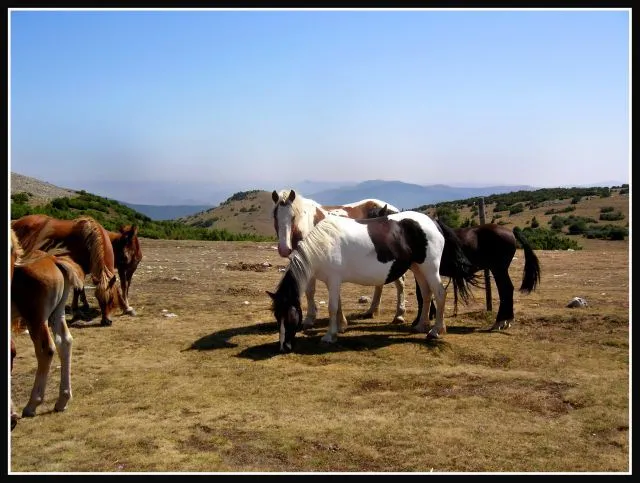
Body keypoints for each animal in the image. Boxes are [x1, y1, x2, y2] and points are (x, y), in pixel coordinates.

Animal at [10, 229, 85, 430]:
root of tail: (54, 260)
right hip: (57, 313)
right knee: (65, 342)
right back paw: (62, 399)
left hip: (36, 317)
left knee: (46, 349)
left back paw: (32, 404)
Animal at [264, 211, 476, 352]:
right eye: (276, 316)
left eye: (289, 316)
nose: (284, 347)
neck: (323, 244)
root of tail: (433, 221)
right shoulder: (334, 281)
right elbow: (338, 306)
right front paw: (340, 328)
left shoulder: (333, 280)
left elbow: (332, 307)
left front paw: (329, 336)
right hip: (418, 267)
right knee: (426, 293)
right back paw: (420, 326)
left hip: (430, 267)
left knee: (439, 294)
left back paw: (436, 330)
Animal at [272, 191, 408, 330]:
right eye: (275, 216)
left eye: (293, 216)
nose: (284, 249)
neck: (307, 223)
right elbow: (311, 292)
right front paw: (313, 318)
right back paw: (371, 311)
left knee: (400, 284)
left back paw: (399, 315)